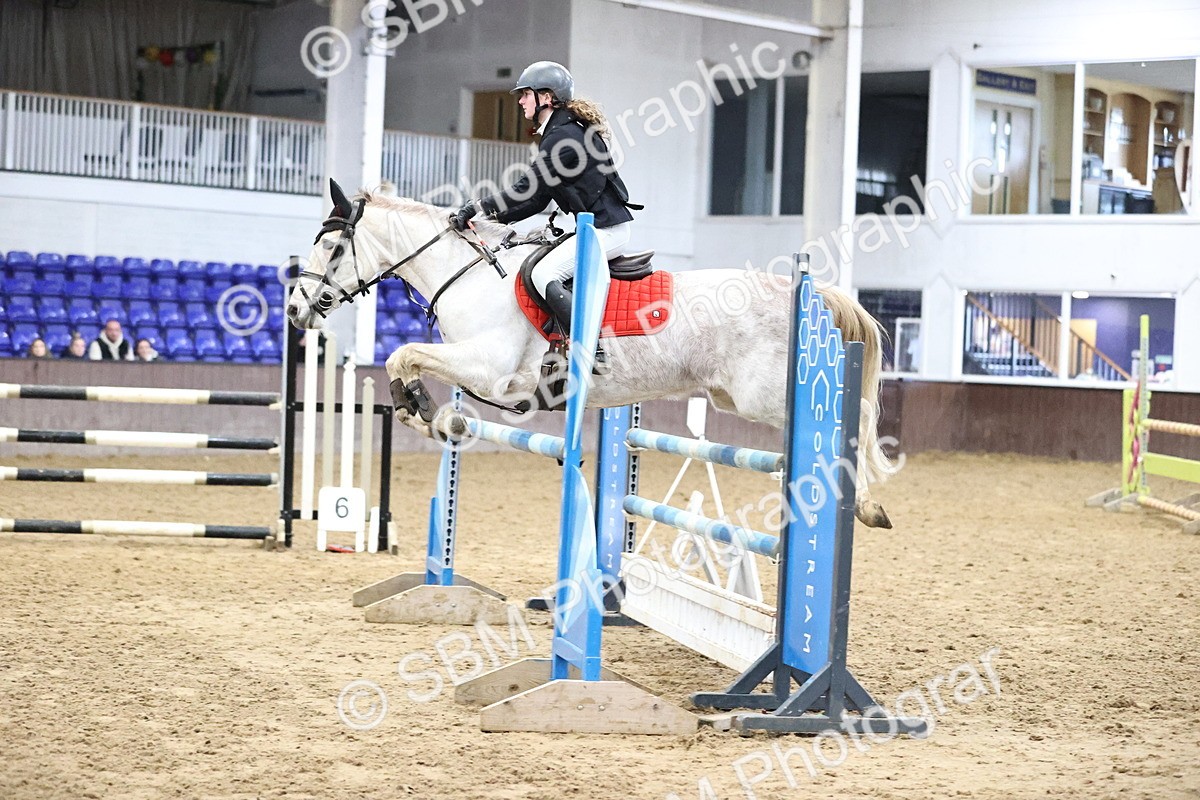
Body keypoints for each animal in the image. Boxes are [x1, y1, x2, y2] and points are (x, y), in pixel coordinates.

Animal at [285, 182, 895, 528]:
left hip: (764, 392)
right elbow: (406, 359)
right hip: (737, 396)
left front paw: (419, 407)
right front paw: (426, 412)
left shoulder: (491, 368)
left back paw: (867, 503)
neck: (470, 272)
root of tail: (805, 292)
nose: (294, 310)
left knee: (858, 414)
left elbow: (403, 354)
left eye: (333, 248)